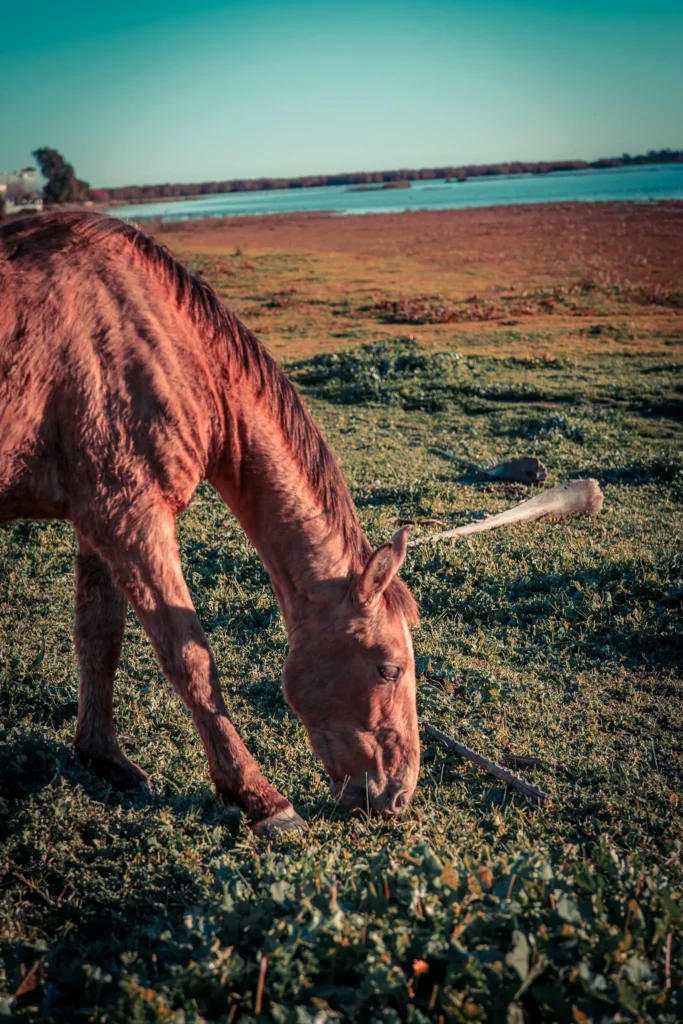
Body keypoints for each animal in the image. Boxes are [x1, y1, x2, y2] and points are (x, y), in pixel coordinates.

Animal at [0, 212, 420, 833]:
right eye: (388, 669)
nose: (397, 795)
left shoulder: (96, 518)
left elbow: (99, 638)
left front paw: (105, 759)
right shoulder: (131, 516)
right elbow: (190, 657)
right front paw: (261, 799)